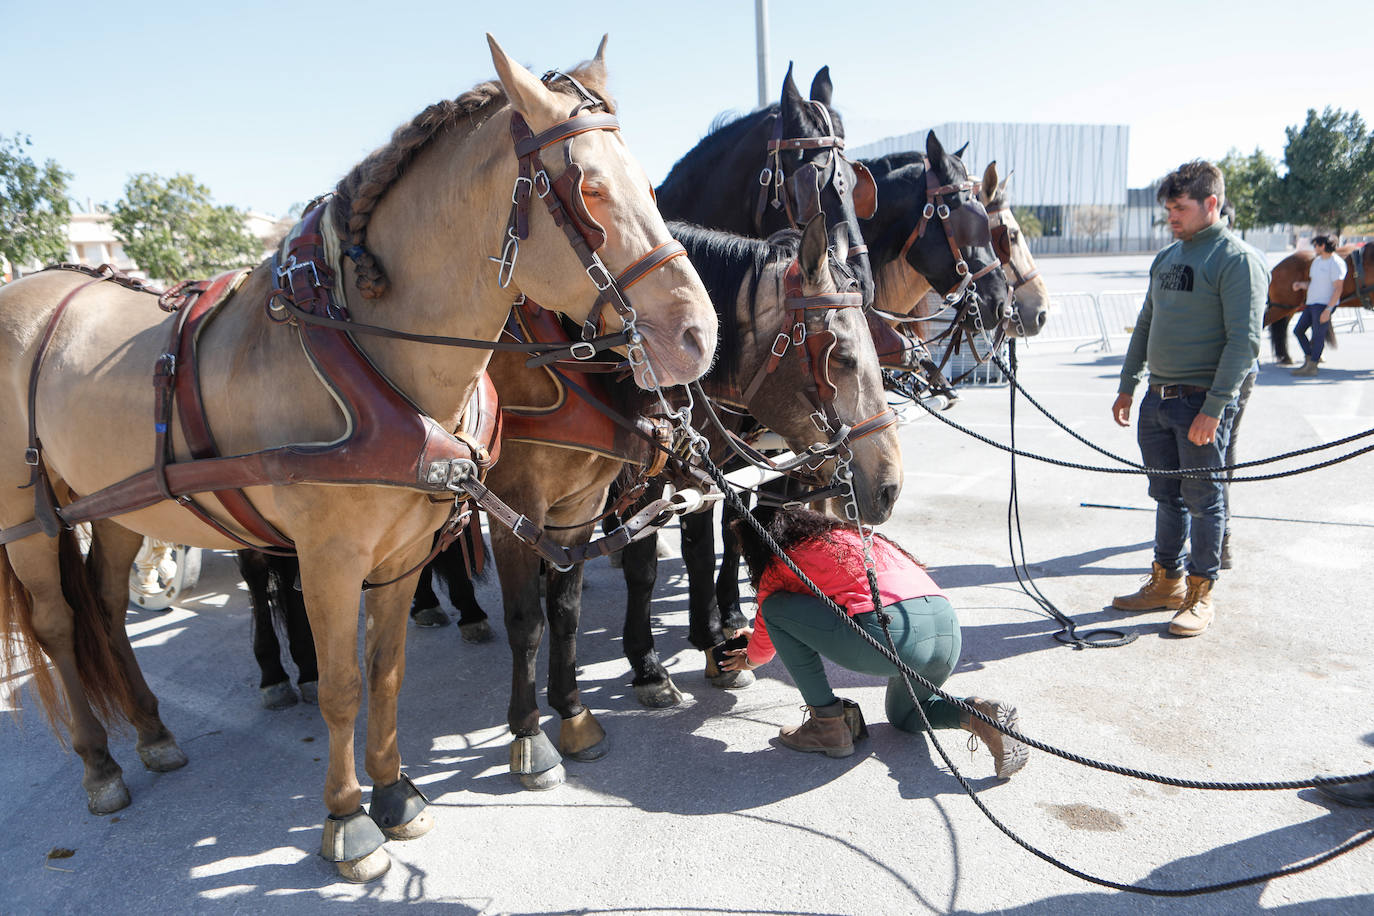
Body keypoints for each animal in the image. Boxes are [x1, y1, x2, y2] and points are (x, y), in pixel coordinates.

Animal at [0, 36, 717, 883]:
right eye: (591, 191)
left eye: (651, 185)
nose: (698, 335)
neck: (370, 343)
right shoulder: (336, 555)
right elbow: (347, 683)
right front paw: (348, 818)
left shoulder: (415, 547)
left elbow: (390, 671)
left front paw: (397, 792)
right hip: (29, 517)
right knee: (58, 622)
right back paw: (101, 762)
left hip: (122, 507)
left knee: (106, 607)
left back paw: (150, 731)